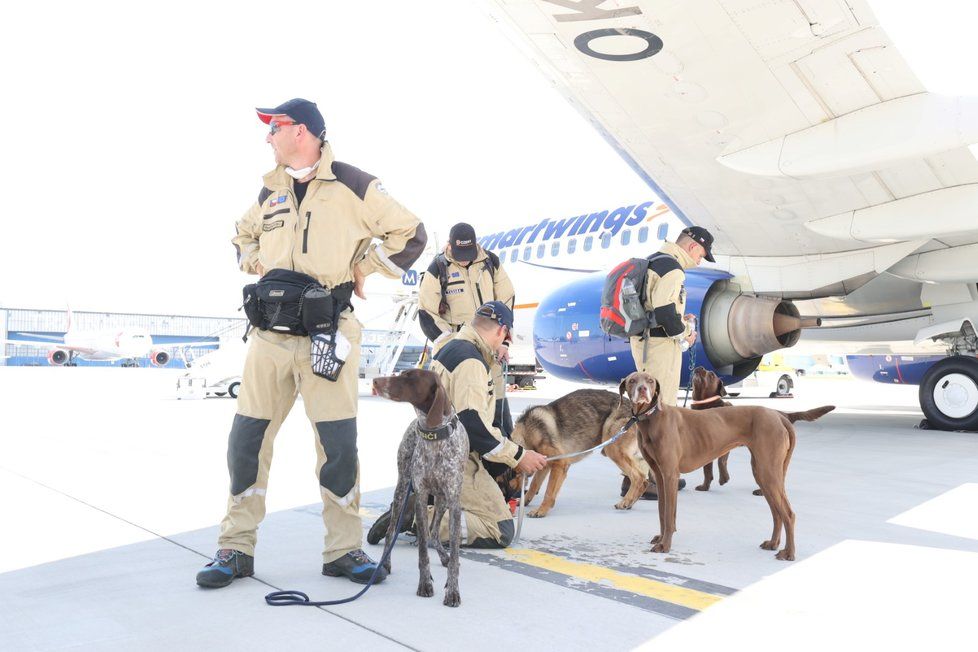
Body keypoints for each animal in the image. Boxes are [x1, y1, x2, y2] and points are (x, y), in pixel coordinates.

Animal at [372, 370, 468, 608]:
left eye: (410, 377)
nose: (375, 381)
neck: (434, 435)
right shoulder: (421, 498)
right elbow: (423, 550)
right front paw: (425, 584)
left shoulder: (454, 501)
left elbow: (454, 553)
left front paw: (452, 591)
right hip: (402, 489)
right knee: (392, 531)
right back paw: (385, 563)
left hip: (442, 500)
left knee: (434, 532)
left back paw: (443, 556)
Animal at [616, 372, 832, 560]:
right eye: (632, 380)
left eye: (650, 381)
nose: (643, 390)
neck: (651, 418)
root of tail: (780, 416)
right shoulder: (660, 476)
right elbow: (663, 513)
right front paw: (661, 539)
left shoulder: (670, 475)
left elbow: (669, 516)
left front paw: (665, 545)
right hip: (763, 474)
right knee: (777, 513)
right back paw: (773, 544)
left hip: (768, 473)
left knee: (788, 514)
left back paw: (788, 553)